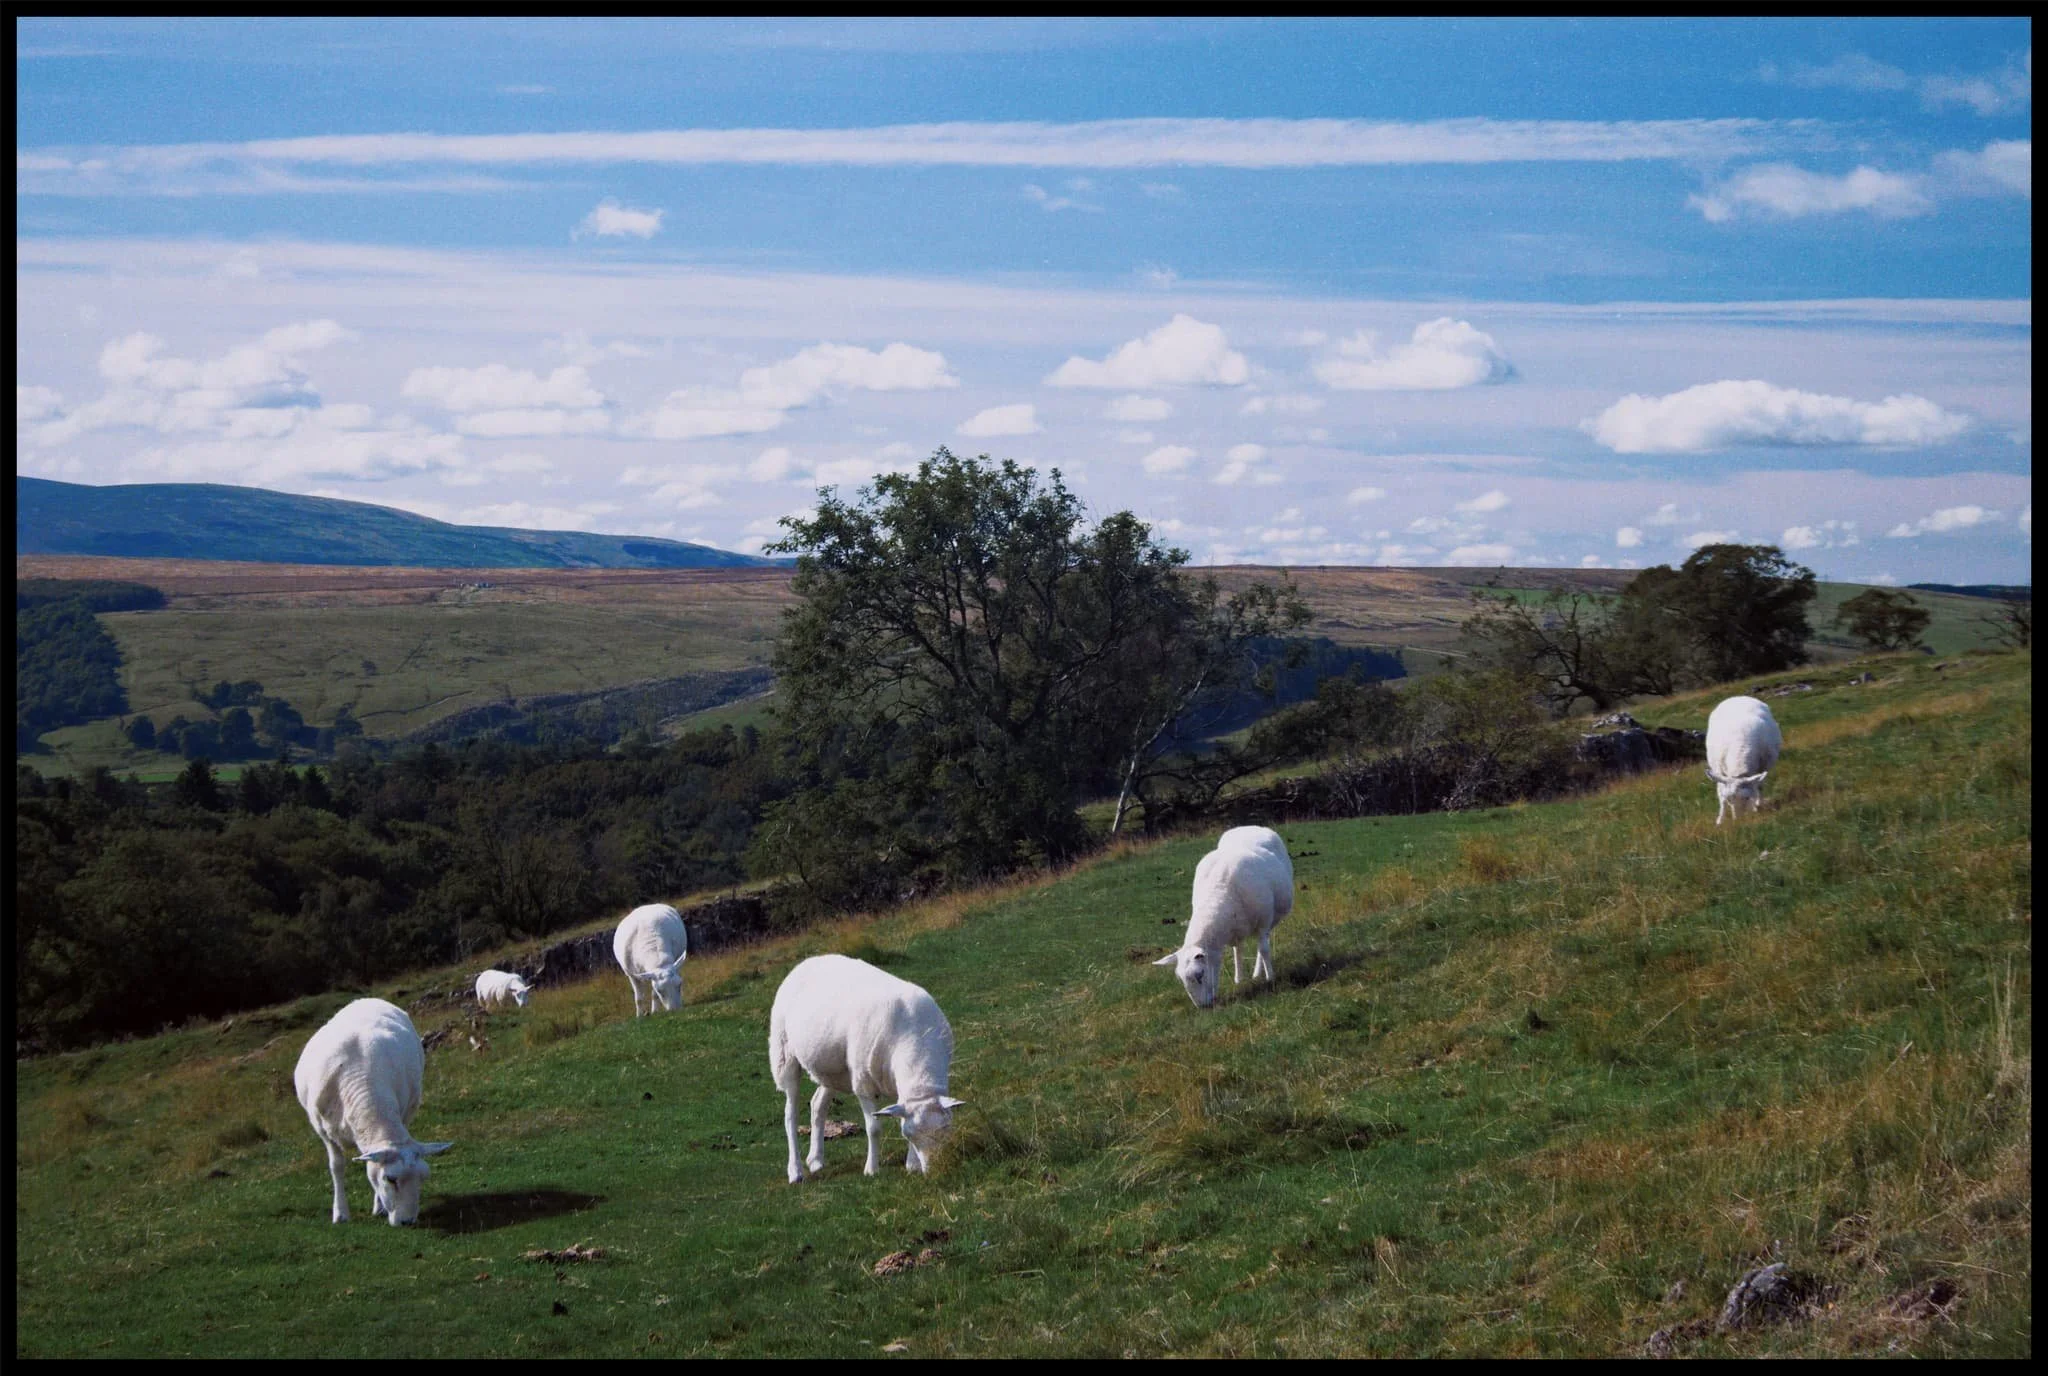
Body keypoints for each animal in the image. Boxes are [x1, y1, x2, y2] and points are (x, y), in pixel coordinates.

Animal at [292, 997, 452, 1226]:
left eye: (423, 1178)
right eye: (390, 1179)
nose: (407, 1222)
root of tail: (369, 999)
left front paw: (379, 1208)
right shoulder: (324, 1132)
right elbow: (337, 1166)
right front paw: (340, 1213)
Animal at [769, 954, 965, 1184]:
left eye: (946, 1130)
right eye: (910, 1135)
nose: (935, 1169)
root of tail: (811, 959)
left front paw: (912, 1165)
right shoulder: (863, 1083)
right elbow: (874, 1129)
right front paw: (872, 1169)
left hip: (835, 1070)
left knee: (818, 1104)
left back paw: (816, 1160)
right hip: (785, 1056)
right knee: (790, 1115)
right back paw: (796, 1171)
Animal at [1154, 824, 1295, 1008]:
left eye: (1200, 974)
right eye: (1181, 980)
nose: (1202, 1007)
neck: (1220, 891)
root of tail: (1250, 826)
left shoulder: (1263, 922)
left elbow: (1263, 949)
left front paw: (1271, 978)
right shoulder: (1233, 930)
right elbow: (1237, 952)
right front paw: (1239, 979)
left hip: (1271, 919)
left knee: (1262, 946)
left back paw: (1260, 972)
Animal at [1705, 695, 1783, 825]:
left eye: (1746, 798)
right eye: (1729, 800)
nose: (1738, 820)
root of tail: (1738, 697)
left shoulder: (1762, 767)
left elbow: (1758, 786)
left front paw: (1756, 806)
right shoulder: (1719, 771)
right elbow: (1720, 793)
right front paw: (1720, 819)